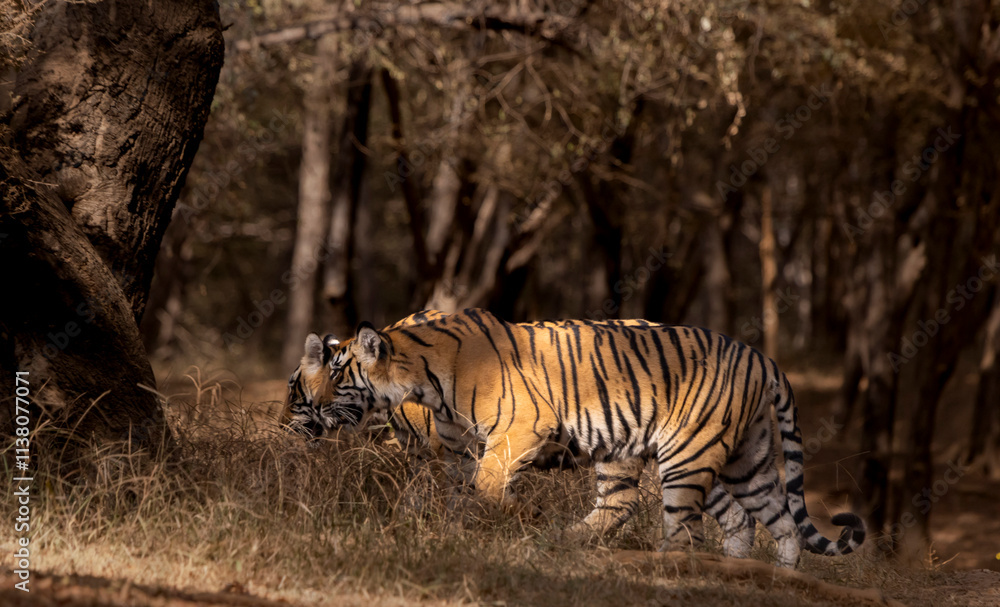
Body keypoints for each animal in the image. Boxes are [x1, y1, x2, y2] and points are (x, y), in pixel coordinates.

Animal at [313, 308, 866, 568]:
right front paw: (455, 528)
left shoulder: (522, 427)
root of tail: (763, 358)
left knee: (683, 527)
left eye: (339, 376)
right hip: (741, 458)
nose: (309, 406)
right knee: (773, 521)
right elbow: (457, 490)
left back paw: (658, 564)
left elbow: (489, 484)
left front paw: (516, 516)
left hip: (687, 454)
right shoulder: (456, 446)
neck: (423, 378)